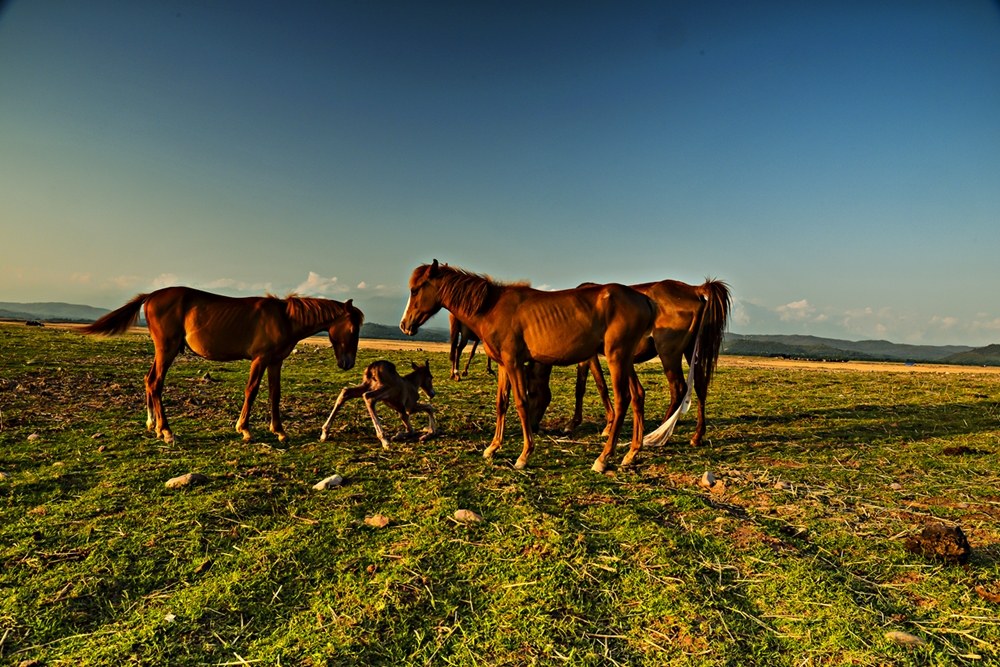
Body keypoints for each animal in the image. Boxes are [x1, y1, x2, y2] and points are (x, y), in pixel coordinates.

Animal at [80, 286, 364, 444]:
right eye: (352, 328)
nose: (348, 363)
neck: (285, 318)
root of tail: (151, 296)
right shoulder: (260, 359)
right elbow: (252, 391)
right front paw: (244, 429)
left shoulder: (275, 362)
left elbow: (275, 394)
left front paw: (279, 431)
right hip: (167, 349)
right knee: (156, 383)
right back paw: (167, 431)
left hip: (163, 351)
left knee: (149, 381)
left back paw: (154, 426)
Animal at [400, 260, 655, 472]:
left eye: (415, 290)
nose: (404, 325)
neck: (491, 307)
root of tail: (644, 299)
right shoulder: (503, 366)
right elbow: (501, 404)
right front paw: (493, 447)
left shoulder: (514, 363)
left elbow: (521, 403)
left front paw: (524, 454)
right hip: (626, 360)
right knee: (638, 395)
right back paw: (631, 453)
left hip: (616, 358)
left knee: (622, 400)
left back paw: (603, 458)